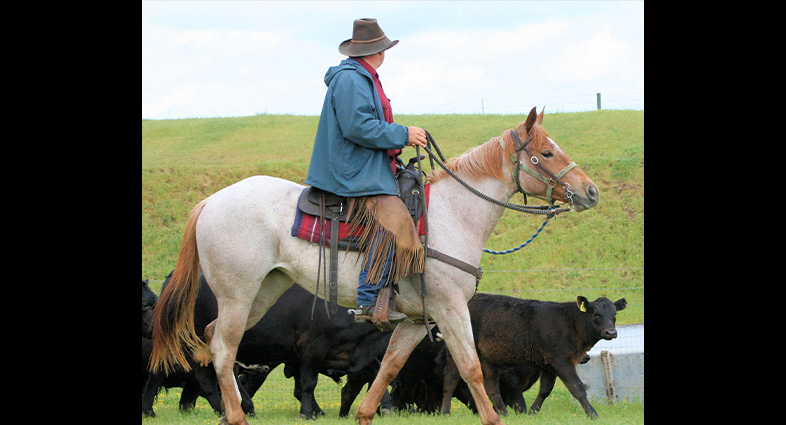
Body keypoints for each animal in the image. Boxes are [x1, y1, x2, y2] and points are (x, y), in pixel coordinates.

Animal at [150, 107, 596, 424]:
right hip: (238, 293)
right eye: (546, 153)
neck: (454, 214)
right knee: (223, 349)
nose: (590, 191)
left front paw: (365, 414)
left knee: (213, 341)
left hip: (263, 291)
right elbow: (470, 367)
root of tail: (210, 202)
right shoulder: (451, 308)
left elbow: (388, 369)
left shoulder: (415, 320)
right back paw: (238, 416)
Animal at [440, 294, 624, 416]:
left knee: (491, 385)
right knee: (450, 379)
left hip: (487, 358)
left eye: (614, 315)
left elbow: (545, 390)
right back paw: (445, 412)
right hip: (456, 349)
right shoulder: (561, 361)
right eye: (596, 315)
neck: (571, 324)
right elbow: (577, 387)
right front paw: (592, 414)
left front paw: (532, 411)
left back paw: (503, 413)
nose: (611, 332)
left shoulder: (549, 365)